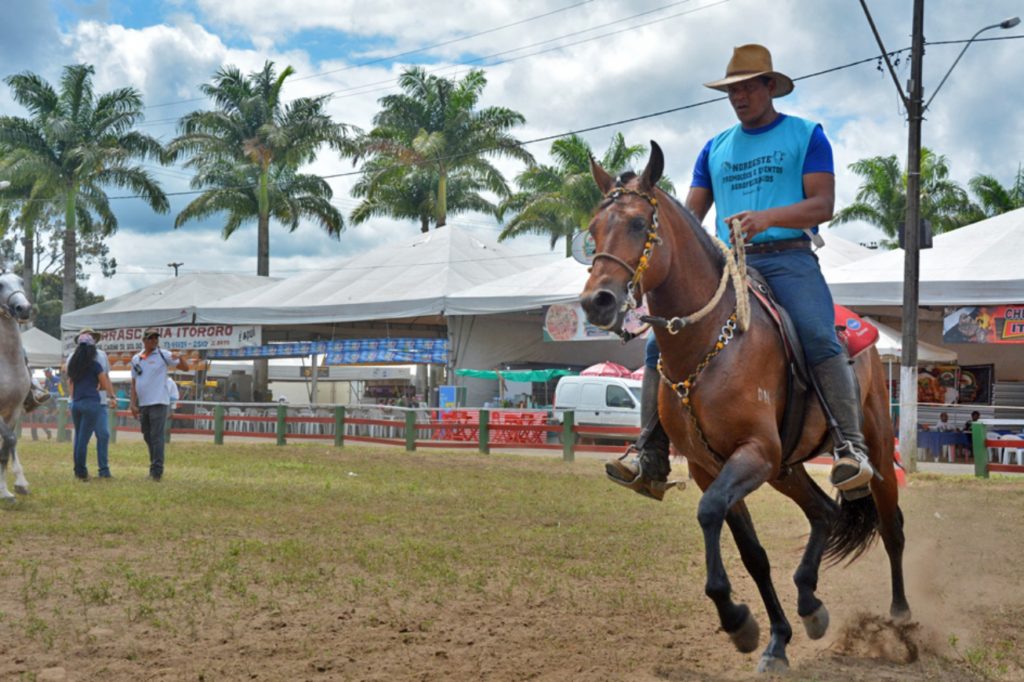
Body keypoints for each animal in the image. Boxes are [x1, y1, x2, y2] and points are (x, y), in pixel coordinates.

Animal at [581, 143, 909, 675]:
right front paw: (770, 636)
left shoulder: (753, 453)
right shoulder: (710, 466)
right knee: (823, 513)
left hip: (873, 449)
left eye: (636, 223)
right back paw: (810, 604)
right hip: (785, 469)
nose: (597, 302)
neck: (710, 342)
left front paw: (737, 619)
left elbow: (710, 513)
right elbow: (751, 552)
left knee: (892, 527)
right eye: (592, 230)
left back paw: (901, 619)